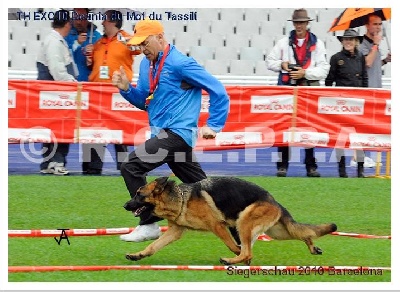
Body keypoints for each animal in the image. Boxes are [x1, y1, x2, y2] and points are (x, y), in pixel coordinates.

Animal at [123, 176, 336, 264]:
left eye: (139, 194)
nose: (125, 205)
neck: (181, 198)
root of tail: (274, 201)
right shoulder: (175, 232)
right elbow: (153, 246)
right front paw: (138, 255)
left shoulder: (218, 226)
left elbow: (232, 244)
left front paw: (239, 255)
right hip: (276, 231)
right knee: (304, 233)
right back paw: (313, 246)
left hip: (244, 222)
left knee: (247, 250)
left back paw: (234, 260)